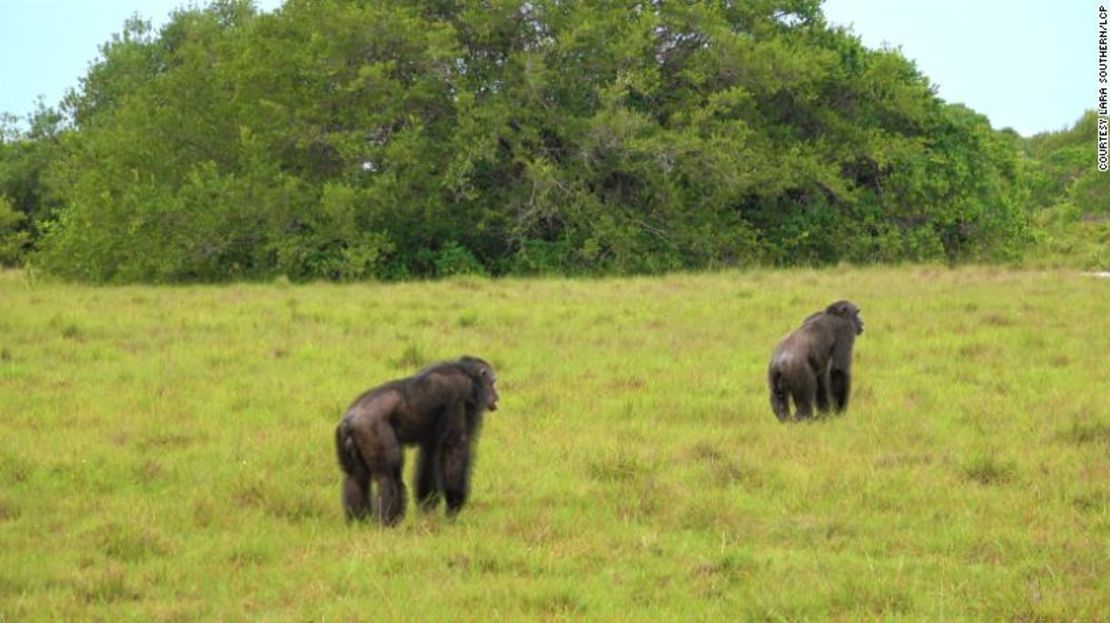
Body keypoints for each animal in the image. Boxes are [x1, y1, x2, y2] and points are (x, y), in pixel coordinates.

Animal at [333, 355, 499, 524]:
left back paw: (359, 522)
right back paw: (389, 523)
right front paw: (453, 507)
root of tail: (349, 420)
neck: (468, 375)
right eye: (493, 382)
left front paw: (427, 505)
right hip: (373, 431)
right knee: (389, 476)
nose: (496, 396)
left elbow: (429, 456)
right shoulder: (459, 394)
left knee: (355, 478)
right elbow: (455, 448)